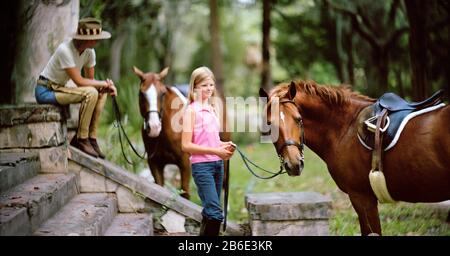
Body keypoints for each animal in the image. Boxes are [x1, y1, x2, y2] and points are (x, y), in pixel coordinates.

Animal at [132, 67, 230, 199]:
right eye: (141, 94)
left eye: (162, 93)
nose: (154, 127)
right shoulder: (154, 163)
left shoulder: (184, 163)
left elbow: (185, 193)